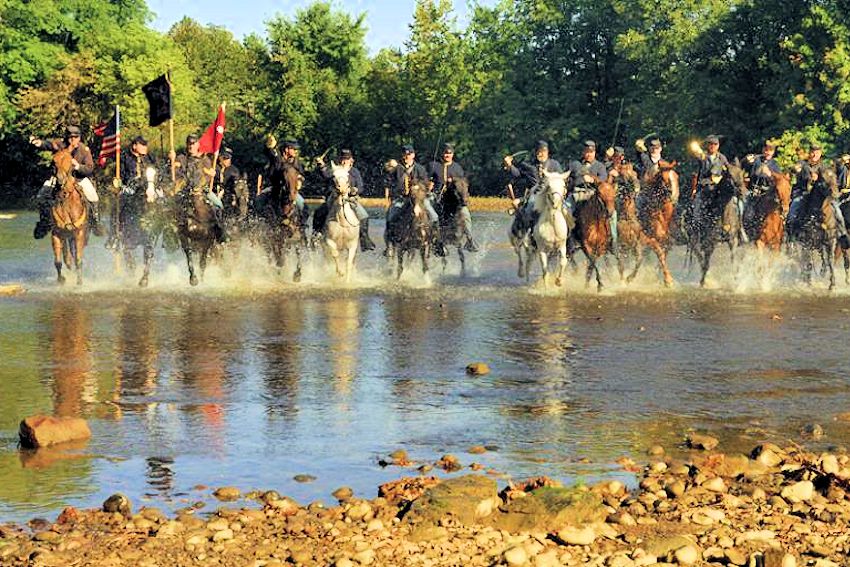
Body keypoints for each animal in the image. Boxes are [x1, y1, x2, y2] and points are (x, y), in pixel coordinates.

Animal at [50, 149, 88, 286]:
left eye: (70, 163)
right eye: (54, 162)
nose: (60, 181)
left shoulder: (79, 233)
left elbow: (78, 259)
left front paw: (79, 281)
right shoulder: (56, 233)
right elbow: (58, 261)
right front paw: (61, 279)